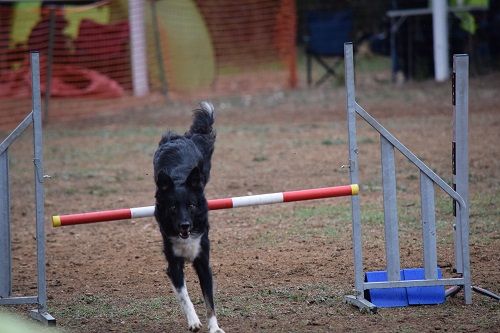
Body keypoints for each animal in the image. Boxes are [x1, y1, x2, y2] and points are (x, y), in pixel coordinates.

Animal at [152, 102, 223, 332]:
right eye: (173, 207)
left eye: (191, 205)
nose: (184, 225)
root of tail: (180, 138)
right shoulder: (173, 263)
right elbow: (184, 294)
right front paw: (193, 321)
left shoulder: (202, 261)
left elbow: (209, 300)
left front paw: (214, 327)